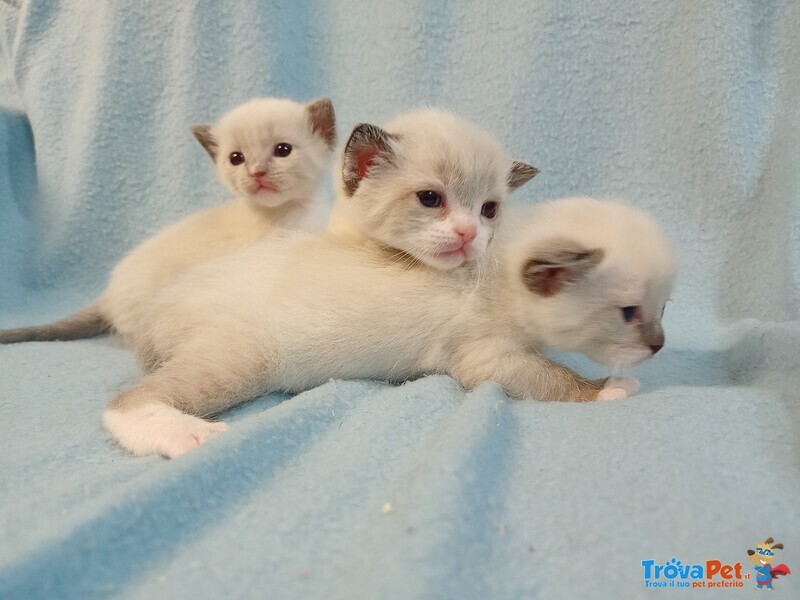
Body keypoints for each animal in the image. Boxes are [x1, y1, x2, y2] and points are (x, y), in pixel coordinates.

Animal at [103, 122, 673, 458]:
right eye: (628, 313)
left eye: (665, 308)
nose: (659, 346)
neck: (492, 260)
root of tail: (152, 313)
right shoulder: (489, 358)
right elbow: (556, 379)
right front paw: (610, 389)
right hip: (239, 360)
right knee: (124, 403)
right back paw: (190, 436)